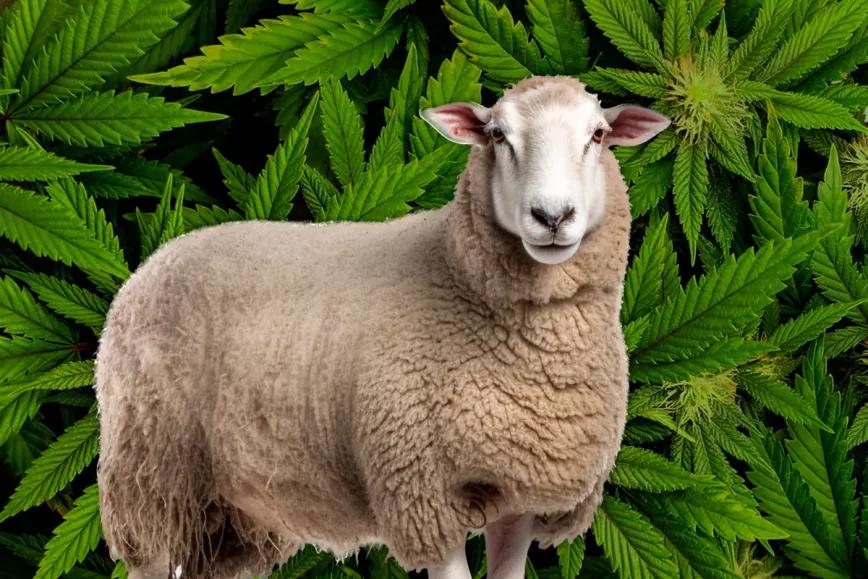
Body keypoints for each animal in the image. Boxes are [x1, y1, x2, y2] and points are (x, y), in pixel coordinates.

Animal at [95, 75, 670, 579]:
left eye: (598, 134)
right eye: (497, 135)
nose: (552, 216)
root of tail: (152, 263)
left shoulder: (522, 496)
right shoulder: (421, 493)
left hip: (236, 509)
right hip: (150, 475)